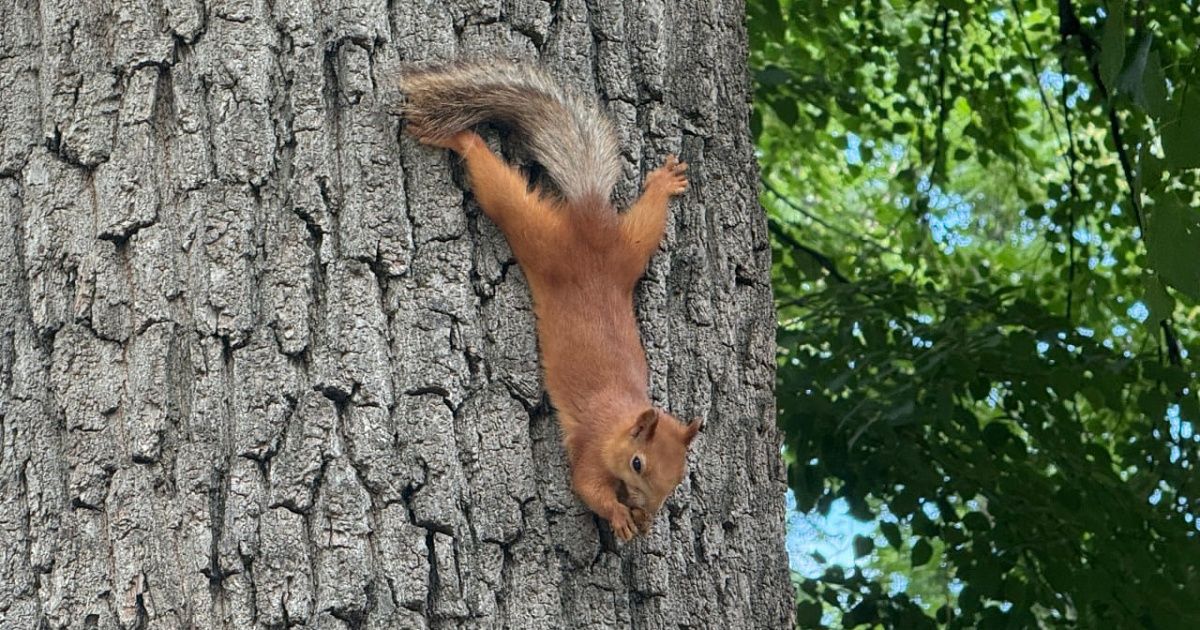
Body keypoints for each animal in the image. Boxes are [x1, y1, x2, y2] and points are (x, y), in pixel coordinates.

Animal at [399, 61, 700, 540]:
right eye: (637, 463)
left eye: (677, 477)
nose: (647, 507)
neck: (622, 419)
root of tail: (590, 222)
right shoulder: (592, 447)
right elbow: (587, 487)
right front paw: (620, 516)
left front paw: (642, 517)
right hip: (538, 236)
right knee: (499, 189)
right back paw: (461, 139)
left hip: (632, 248)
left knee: (648, 217)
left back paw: (664, 183)